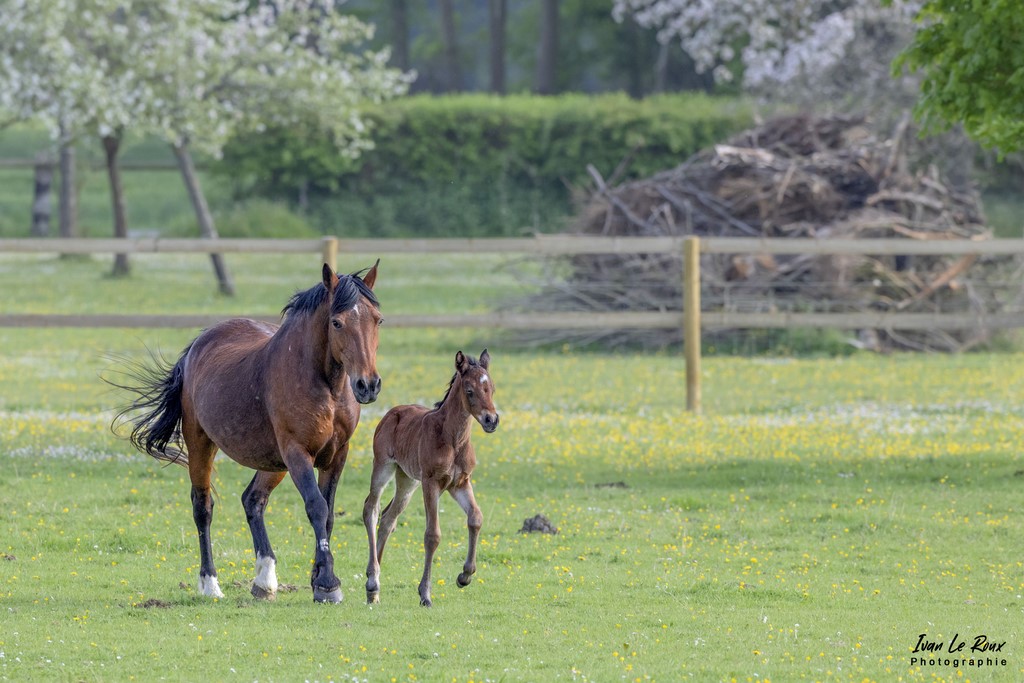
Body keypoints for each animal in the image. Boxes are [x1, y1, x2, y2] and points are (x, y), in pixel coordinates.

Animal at [364, 350, 499, 606]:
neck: (453, 439)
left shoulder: (460, 483)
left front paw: (465, 576)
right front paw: (425, 594)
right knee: (371, 510)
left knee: (388, 518)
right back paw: (372, 581)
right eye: (469, 390)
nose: (492, 420)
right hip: (383, 467)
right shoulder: (431, 483)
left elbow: (476, 518)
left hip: (407, 480)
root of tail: (390, 413)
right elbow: (432, 535)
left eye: (492, 389)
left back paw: (373, 591)